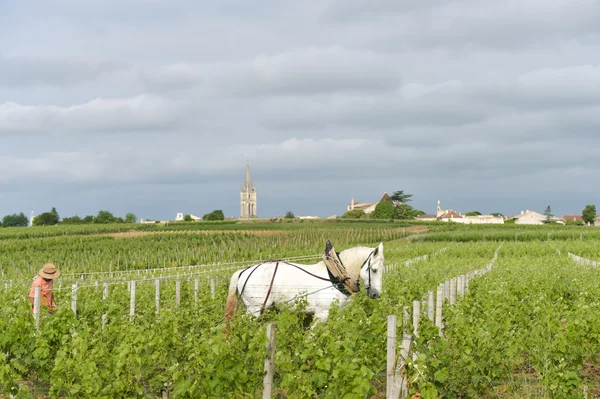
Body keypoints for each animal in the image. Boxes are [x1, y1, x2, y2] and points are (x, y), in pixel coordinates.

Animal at [225, 242, 384, 324]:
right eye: (374, 270)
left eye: (382, 270)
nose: (376, 294)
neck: (335, 277)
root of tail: (244, 271)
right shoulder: (322, 313)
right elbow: (311, 338)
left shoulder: (340, 311)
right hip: (254, 309)